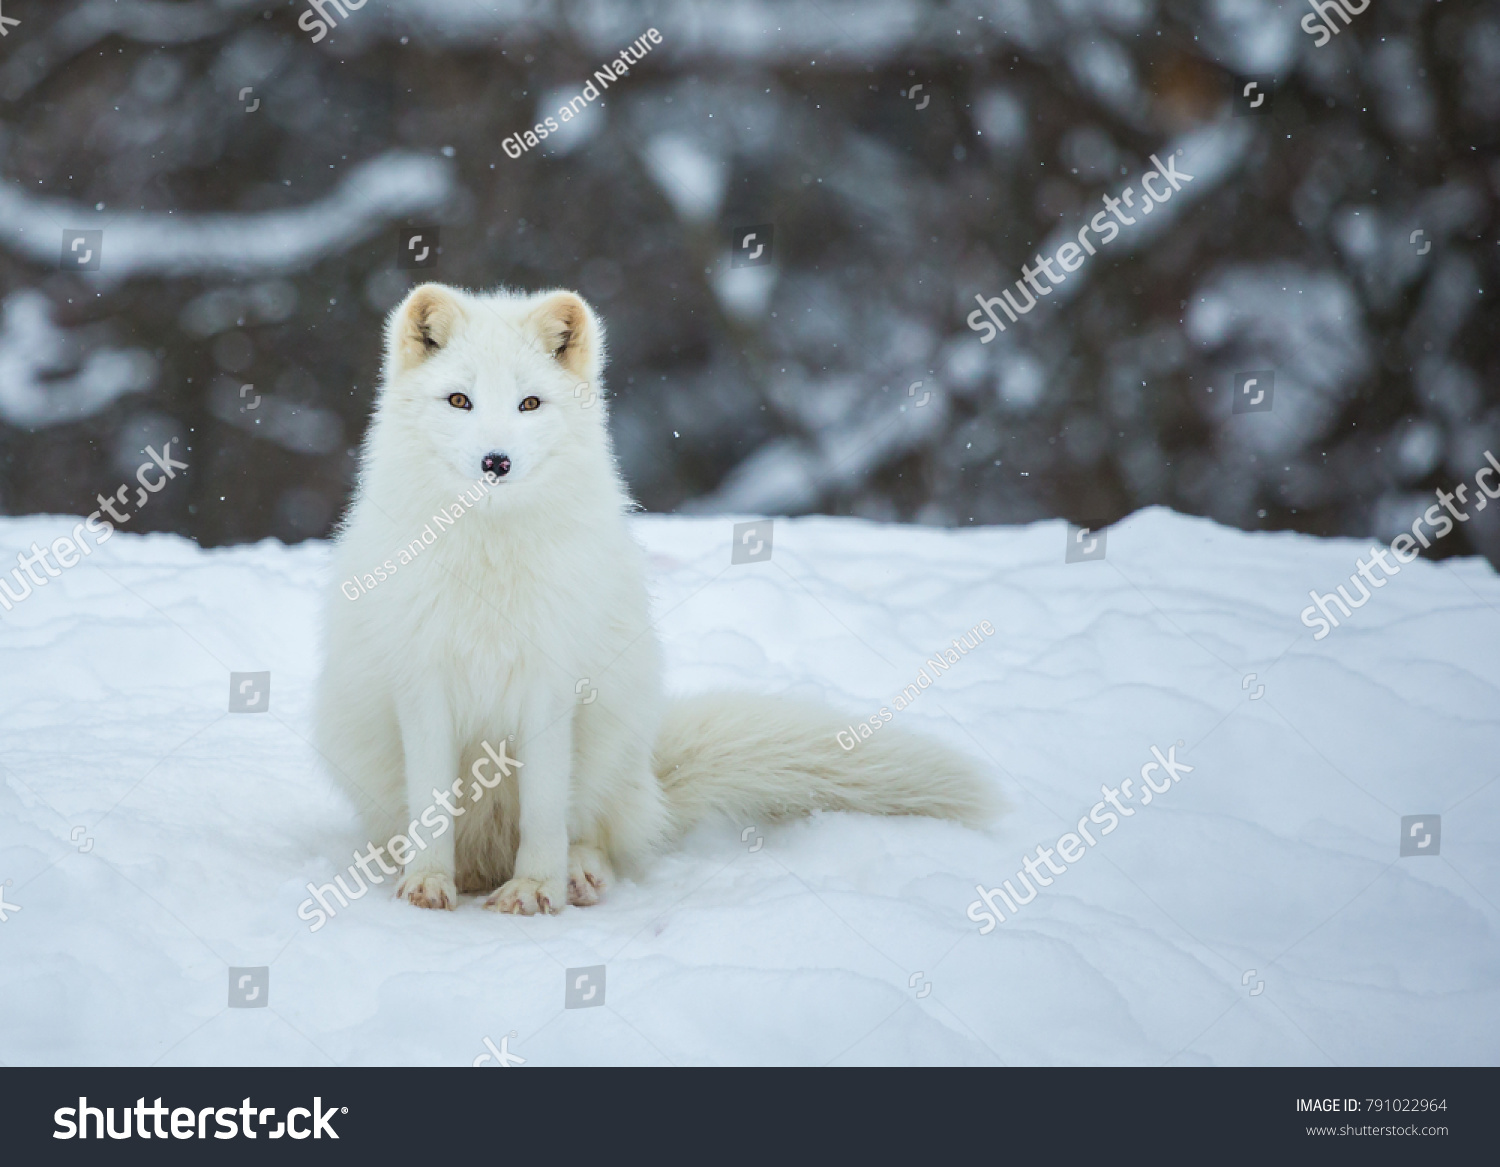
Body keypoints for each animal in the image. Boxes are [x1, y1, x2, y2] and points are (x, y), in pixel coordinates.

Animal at [313, 282, 1000, 916]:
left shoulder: (551, 685)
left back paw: (577, 875)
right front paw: (429, 883)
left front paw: (536, 889)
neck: (490, 569)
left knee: (594, 832)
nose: (496, 461)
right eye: (460, 400)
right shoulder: (422, 683)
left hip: (609, 737)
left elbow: (545, 812)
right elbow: (433, 807)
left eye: (529, 403)